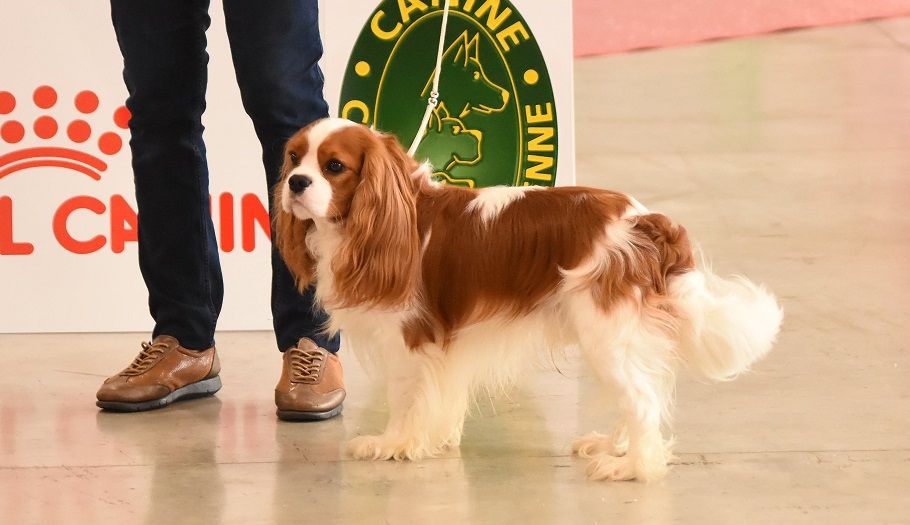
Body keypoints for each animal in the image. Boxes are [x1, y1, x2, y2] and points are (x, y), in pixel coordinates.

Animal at [274, 118, 783, 482]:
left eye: (334, 166)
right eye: (294, 158)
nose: (296, 183)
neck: (398, 213)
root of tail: (646, 221)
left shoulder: (409, 340)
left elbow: (403, 398)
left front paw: (392, 444)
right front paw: (434, 441)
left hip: (605, 333)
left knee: (641, 400)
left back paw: (631, 467)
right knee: (643, 392)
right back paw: (613, 446)